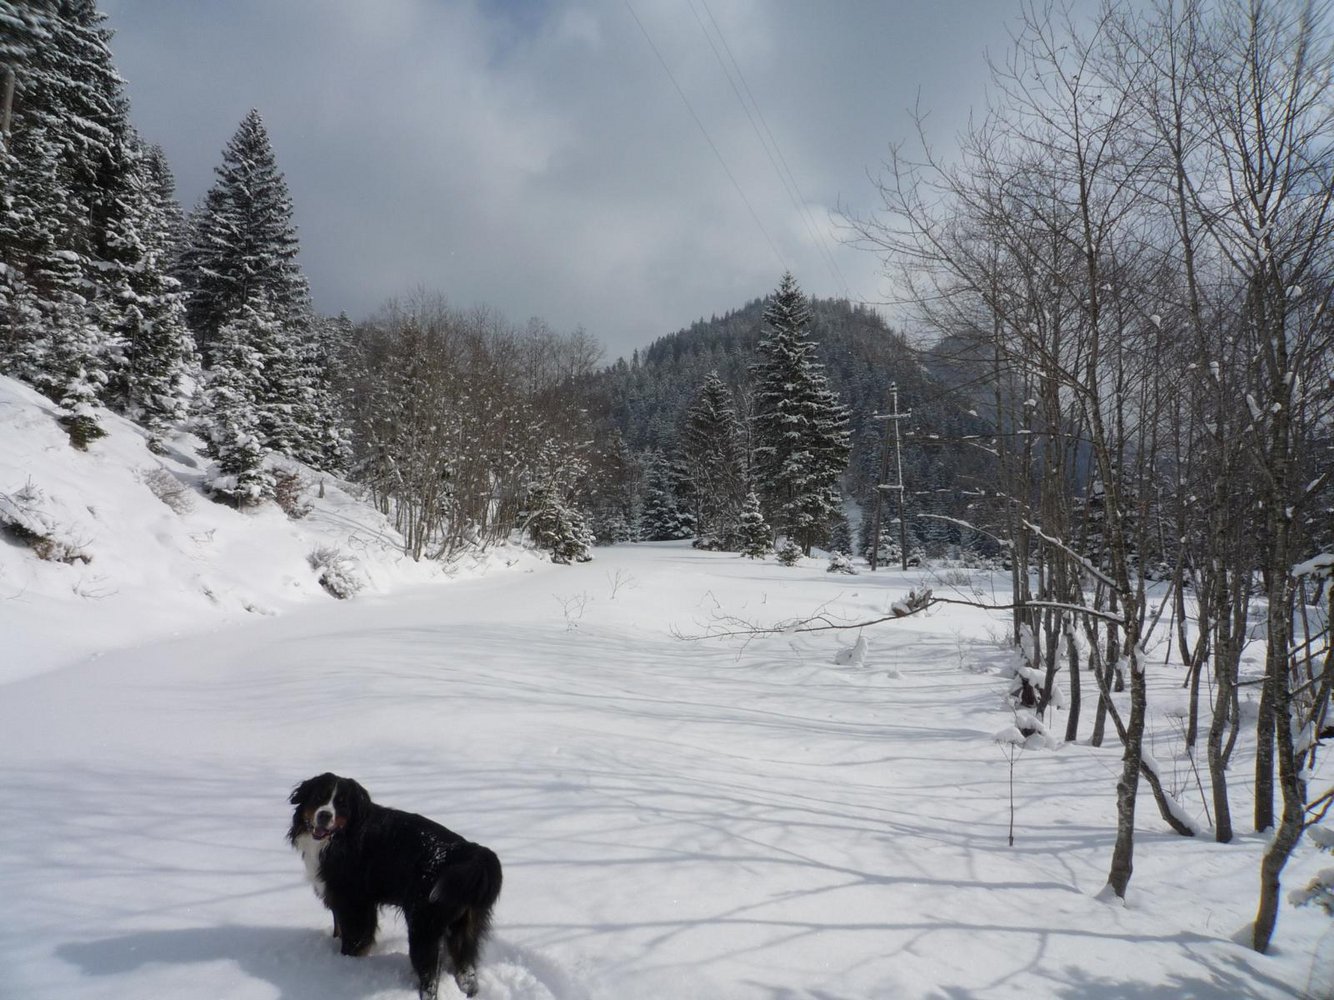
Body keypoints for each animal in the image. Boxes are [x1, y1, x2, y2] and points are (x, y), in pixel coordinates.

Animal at [288, 773, 502, 999]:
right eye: (319, 797)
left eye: (342, 804)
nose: (324, 815)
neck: (340, 839)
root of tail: (470, 852)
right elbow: (339, 929)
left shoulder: (354, 903)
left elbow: (353, 940)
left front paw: (345, 963)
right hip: (465, 928)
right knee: (467, 973)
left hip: (423, 926)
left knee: (430, 977)